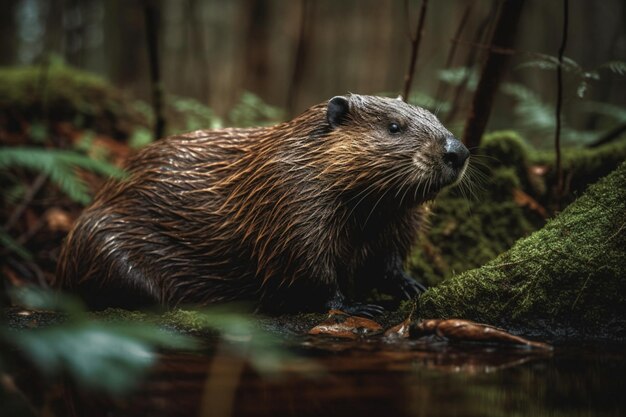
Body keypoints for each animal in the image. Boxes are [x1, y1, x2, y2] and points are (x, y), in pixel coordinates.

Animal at [56, 94, 466, 314]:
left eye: (434, 116)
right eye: (394, 127)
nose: (457, 152)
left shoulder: (396, 217)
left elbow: (386, 262)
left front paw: (415, 286)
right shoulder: (292, 198)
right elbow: (308, 270)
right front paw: (358, 306)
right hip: (103, 245)